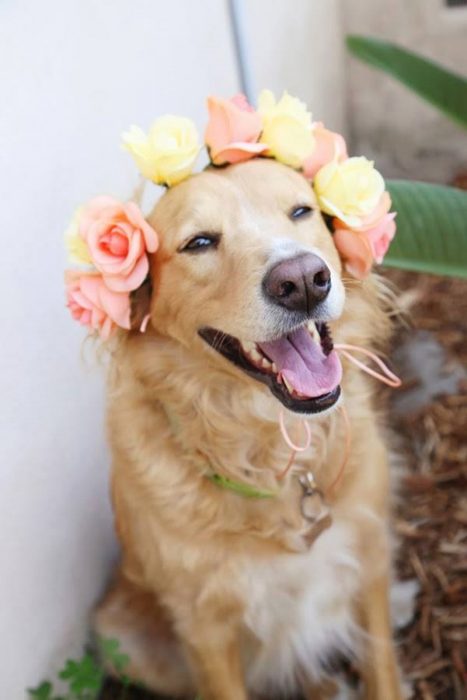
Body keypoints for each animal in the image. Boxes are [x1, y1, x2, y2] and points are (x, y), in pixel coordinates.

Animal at [94, 159, 402, 700]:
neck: (278, 455)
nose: (302, 281)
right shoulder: (206, 627)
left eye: (301, 211)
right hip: (123, 637)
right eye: (199, 242)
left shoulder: (370, 552)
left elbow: (381, 669)